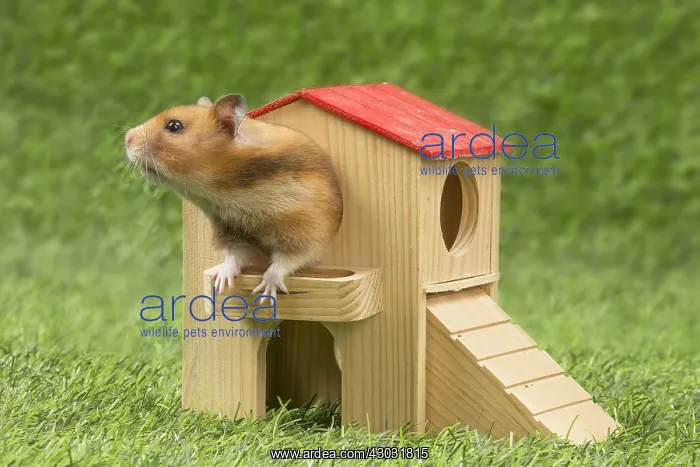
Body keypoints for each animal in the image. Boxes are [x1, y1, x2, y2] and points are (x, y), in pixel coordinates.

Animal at [124, 94, 343, 301]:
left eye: (174, 126)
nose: (126, 138)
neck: (228, 193)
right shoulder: (231, 232)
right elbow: (234, 258)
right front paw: (220, 282)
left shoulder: (305, 234)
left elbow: (285, 262)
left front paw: (266, 293)